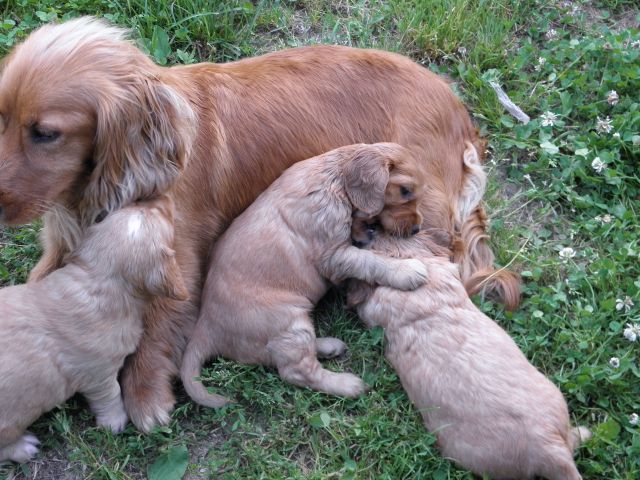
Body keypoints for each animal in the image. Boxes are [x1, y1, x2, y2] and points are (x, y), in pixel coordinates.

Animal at [0, 197, 188, 464]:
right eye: (158, 212)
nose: (161, 197)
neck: (97, 279)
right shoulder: (98, 373)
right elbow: (111, 395)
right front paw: (114, 422)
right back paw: (23, 447)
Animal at [180, 143, 428, 404]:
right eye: (404, 191)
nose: (416, 229)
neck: (335, 179)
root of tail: (205, 326)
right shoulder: (333, 256)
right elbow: (369, 261)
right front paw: (406, 270)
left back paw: (329, 346)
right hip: (288, 323)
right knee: (297, 371)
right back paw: (348, 385)